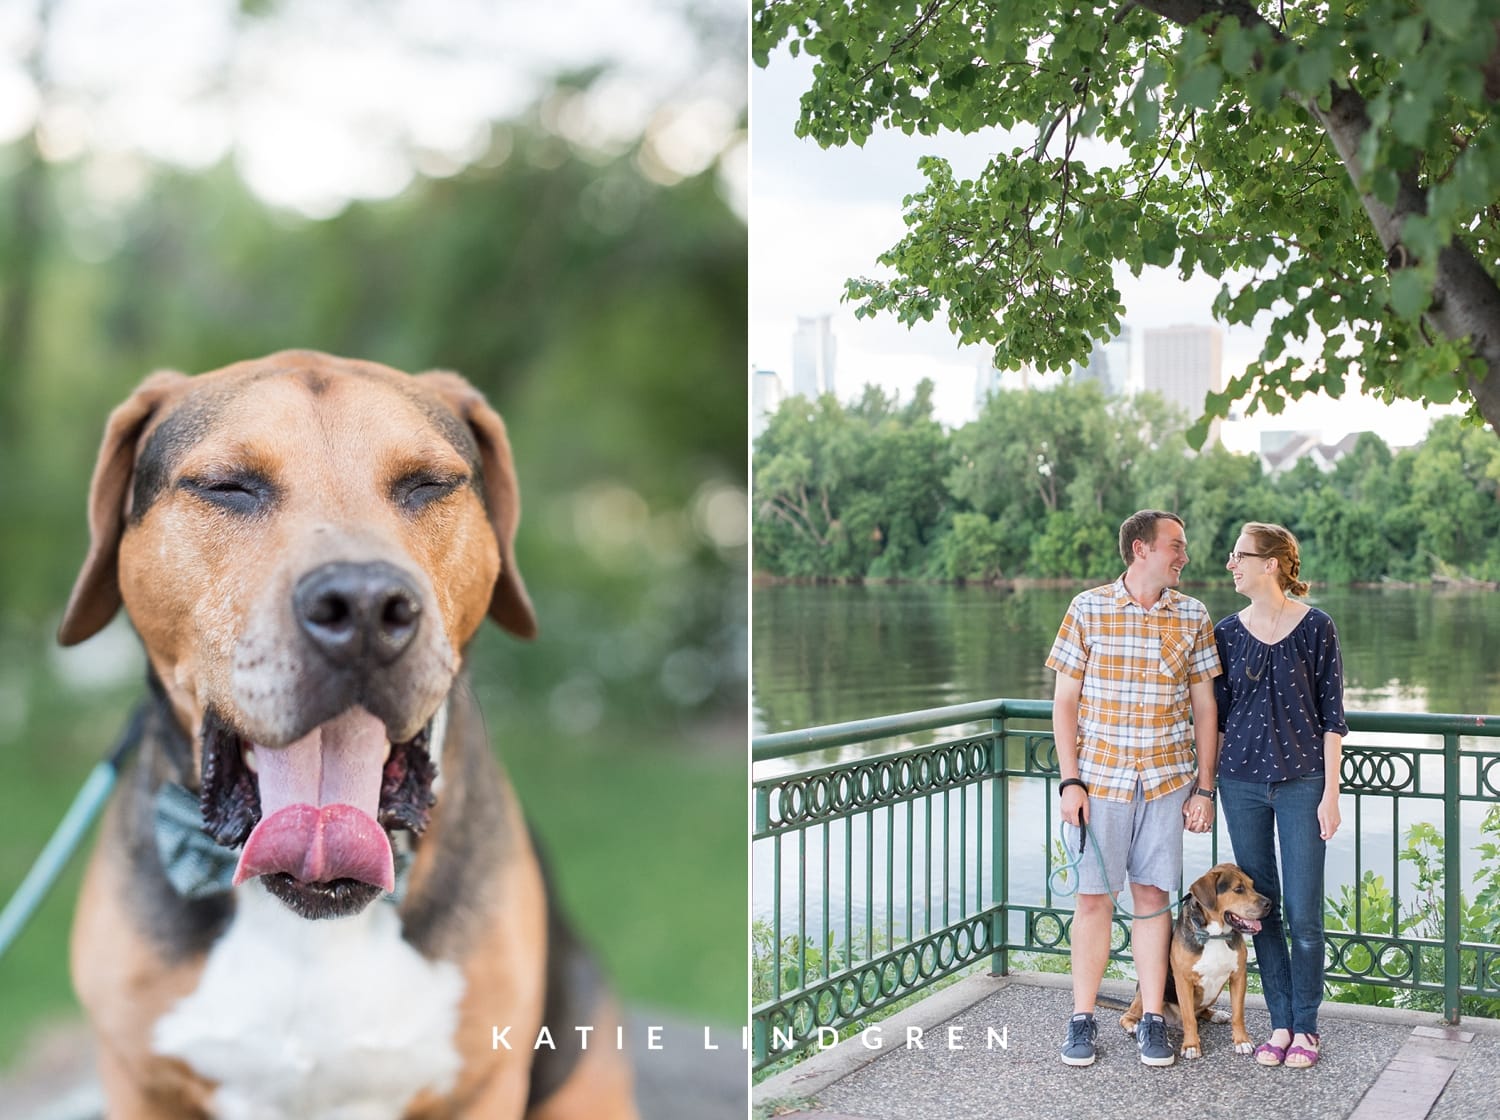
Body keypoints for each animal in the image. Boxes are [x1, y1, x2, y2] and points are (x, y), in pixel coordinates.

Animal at [54, 355, 633, 1120]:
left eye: (428, 484)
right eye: (227, 486)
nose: (362, 606)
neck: (308, 920)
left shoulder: (484, 1082)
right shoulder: (139, 1080)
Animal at [1122, 869, 1272, 1061]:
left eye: (1252, 885)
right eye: (1238, 889)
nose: (1269, 904)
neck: (1215, 935)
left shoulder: (1238, 976)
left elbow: (1238, 1015)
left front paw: (1242, 1041)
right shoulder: (1184, 981)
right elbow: (1189, 1019)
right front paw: (1191, 1046)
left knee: (1201, 1012)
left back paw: (1216, 1014)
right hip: (1146, 988)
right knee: (1129, 1014)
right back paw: (1134, 1025)